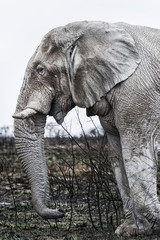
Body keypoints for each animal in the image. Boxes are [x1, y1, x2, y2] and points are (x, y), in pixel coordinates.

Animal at [12, 21, 160, 236]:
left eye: (40, 70)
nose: (61, 211)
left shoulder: (138, 91)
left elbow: (134, 153)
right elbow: (118, 154)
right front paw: (131, 230)